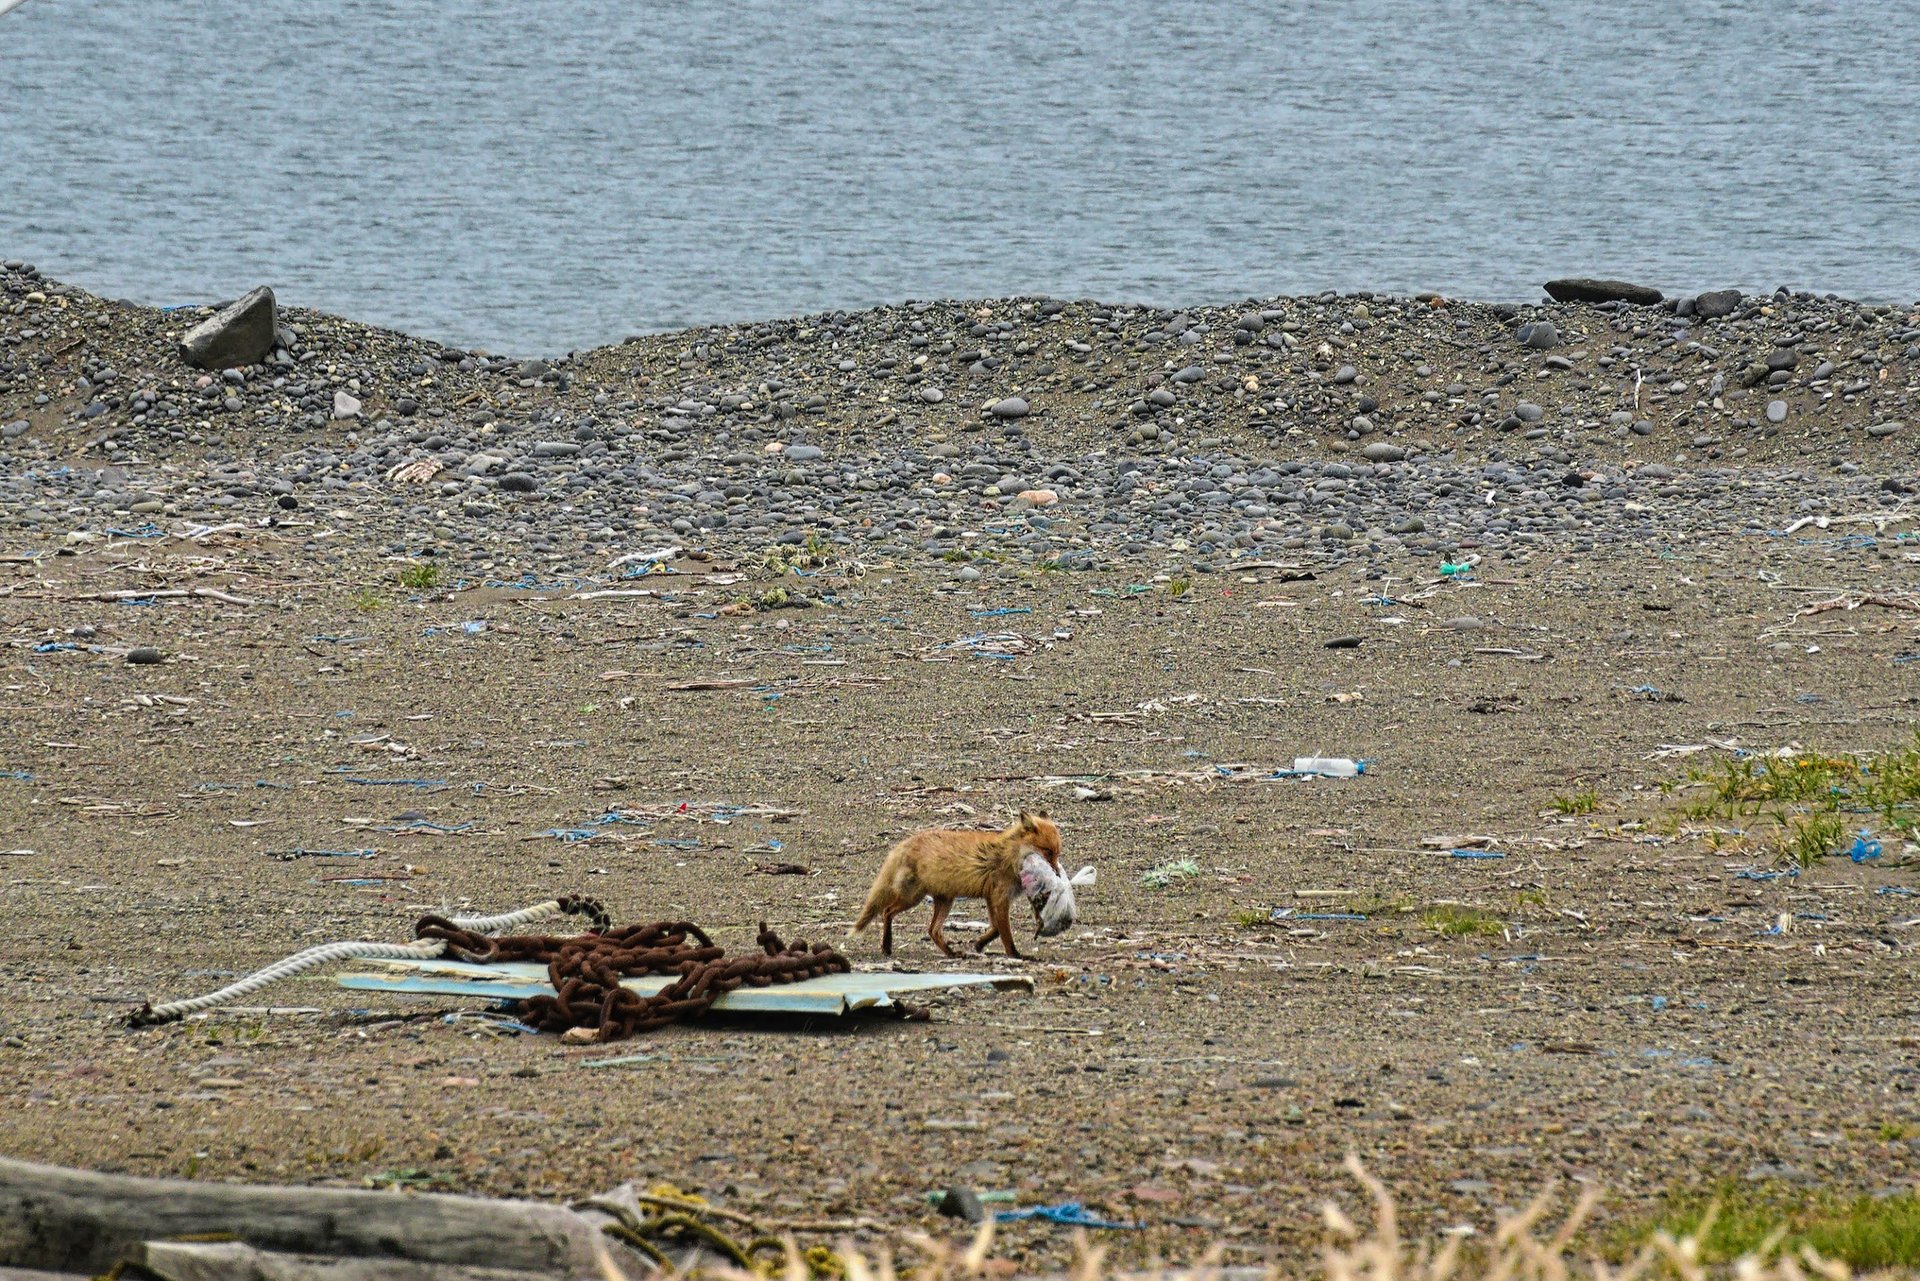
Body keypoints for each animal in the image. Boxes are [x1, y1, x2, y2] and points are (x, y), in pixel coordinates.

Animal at [849, 811, 1063, 958]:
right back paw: (887, 945)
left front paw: (979, 944)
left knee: (933, 930)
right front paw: (1015, 955)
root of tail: (903, 844)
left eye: (1057, 853)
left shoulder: (991, 897)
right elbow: (1005, 934)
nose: (1057, 873)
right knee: (887, 912)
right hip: (913, 897)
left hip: (944, 901)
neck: (1009, 856)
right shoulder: (999, 898)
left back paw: (951, 953)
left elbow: (995, 929)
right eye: (1047, 851)